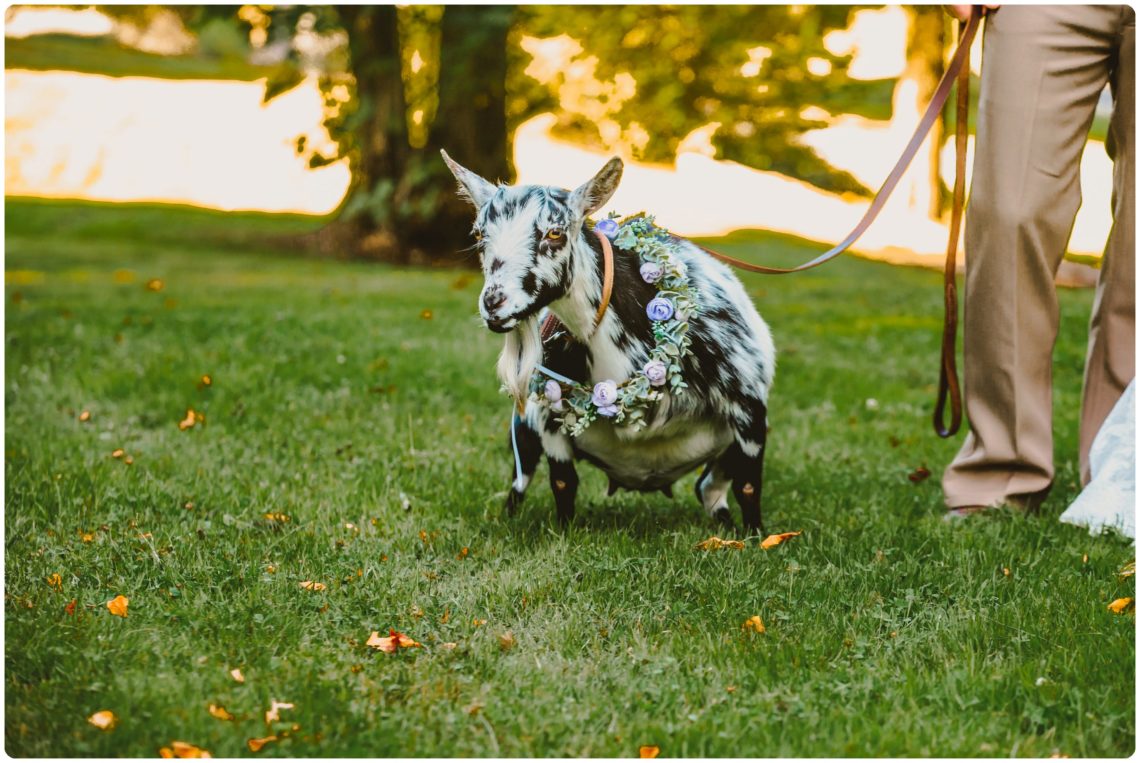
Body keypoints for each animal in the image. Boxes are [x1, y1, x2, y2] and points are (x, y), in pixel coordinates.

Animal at [442, 148, 775, 529]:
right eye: (479, 235)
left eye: (555, 233)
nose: (494, 303)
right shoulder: (549, 418)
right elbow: (563, 483)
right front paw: (563, 534)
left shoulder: (750, 414)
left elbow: (748, 487)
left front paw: (756, 538)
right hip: (523, 427)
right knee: (520, 477)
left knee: (710, 488)